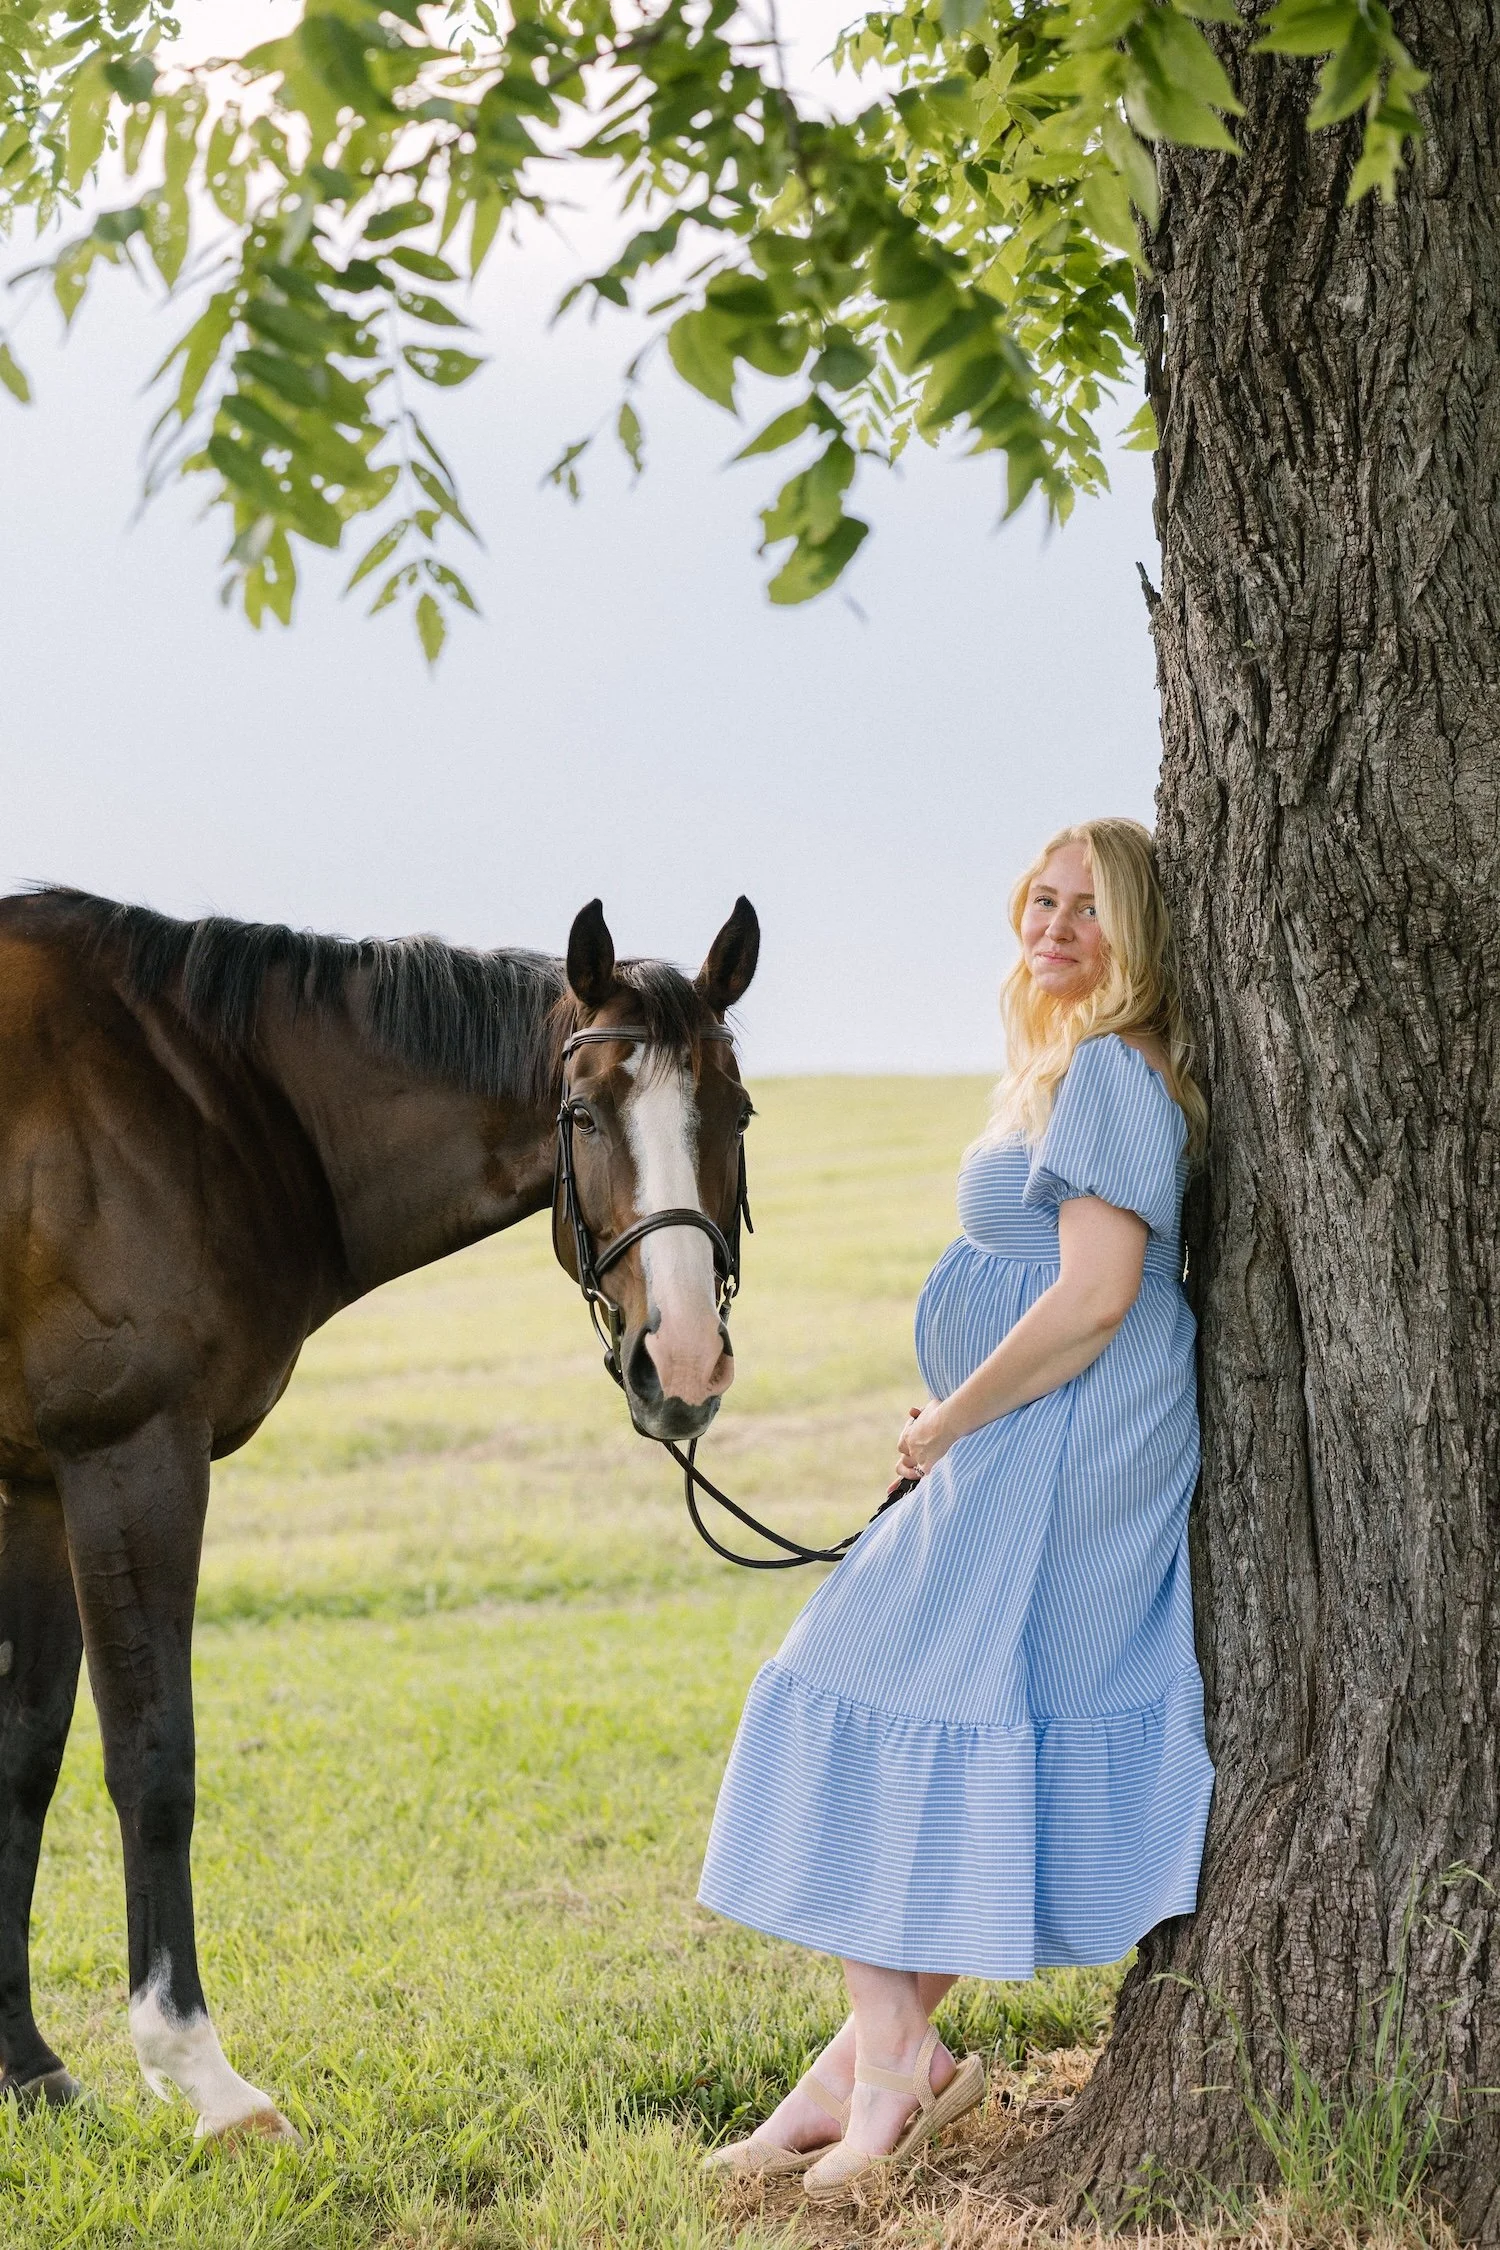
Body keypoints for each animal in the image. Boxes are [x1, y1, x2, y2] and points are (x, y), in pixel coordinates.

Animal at [0, 883, 759, 2138]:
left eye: (735, 1112)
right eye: (585, 1116)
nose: (685, 1362)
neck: (198, 1098)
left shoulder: (35, 1484)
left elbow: (24, 1758)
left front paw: (25, 2068)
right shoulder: (128, 1460)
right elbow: (153, 1760)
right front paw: (200, 2074)